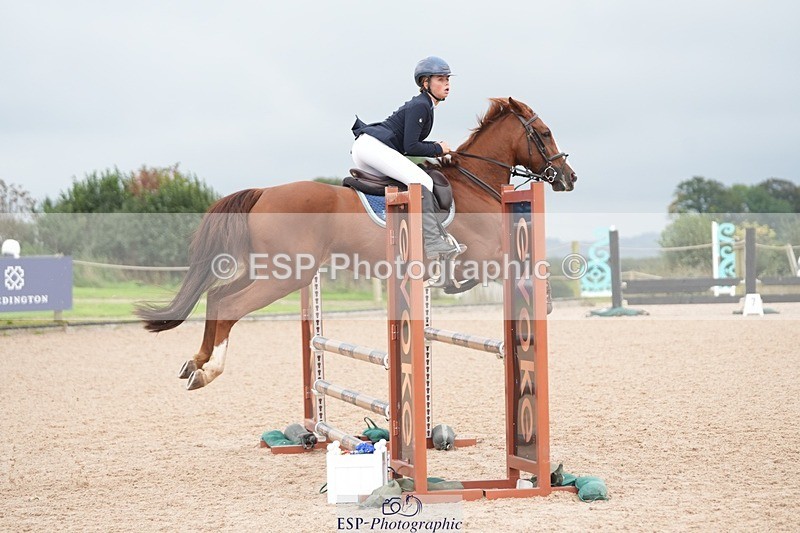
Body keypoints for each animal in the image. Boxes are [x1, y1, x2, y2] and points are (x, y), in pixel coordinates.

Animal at [136, 97, 577, 390]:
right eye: (544, 133)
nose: (569, 177)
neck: (475, 184)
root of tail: (263, 193)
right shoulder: (484, 256)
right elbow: (522, 270)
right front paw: (543, 303)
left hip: (272, 269)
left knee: (216, 296)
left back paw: (196, 362)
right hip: (287, 274)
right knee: (229, 305)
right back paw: (208, 371)